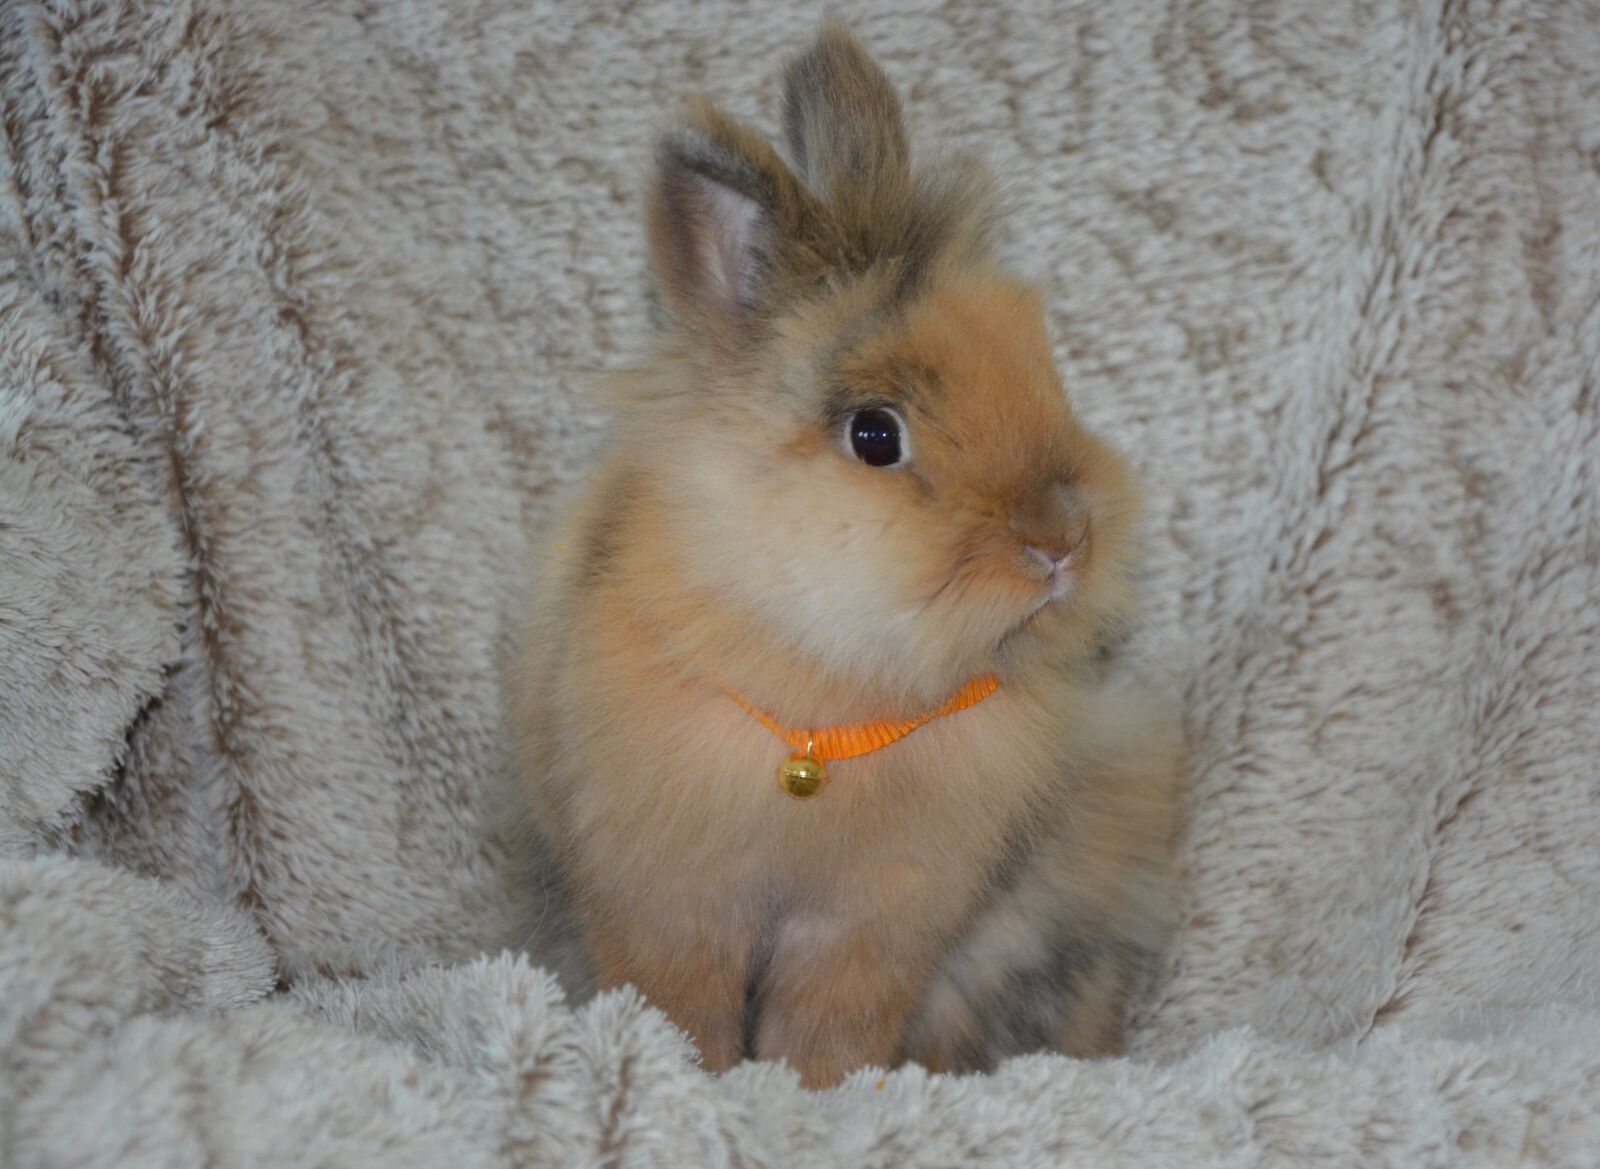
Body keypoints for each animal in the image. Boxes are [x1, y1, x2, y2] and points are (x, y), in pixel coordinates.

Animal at [508, 22, 1183, 1089]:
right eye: (875, 435)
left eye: (1041, 363)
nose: (1063, 542)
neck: (830, 695)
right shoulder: (670, 901)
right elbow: (683, 1008)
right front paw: (688, 1080)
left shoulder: (871, 926)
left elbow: (827, 1028)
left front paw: (823, 1092)